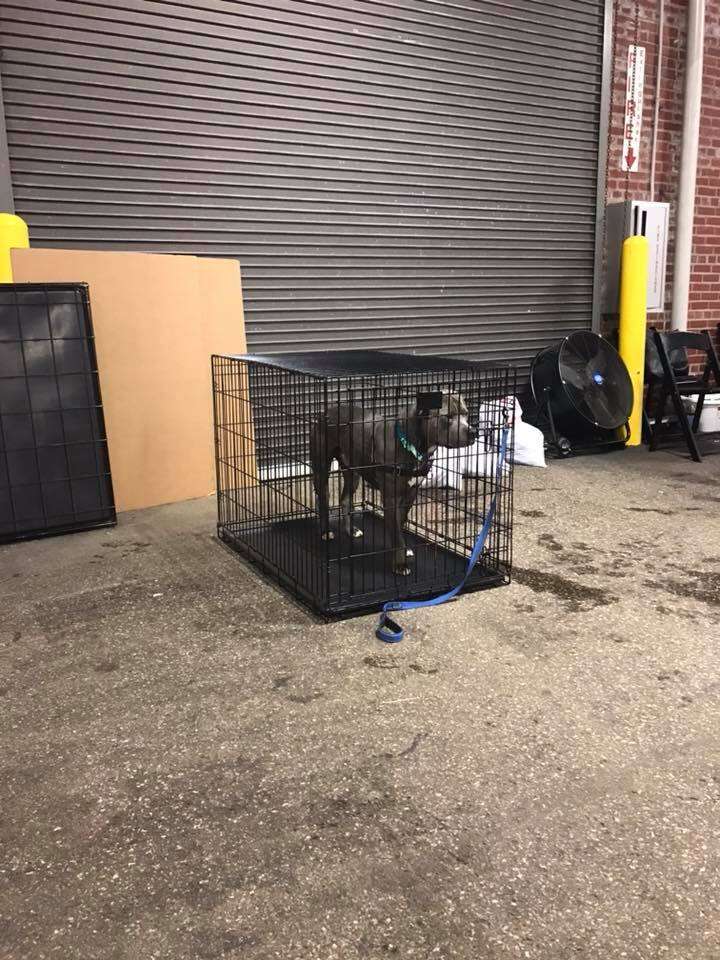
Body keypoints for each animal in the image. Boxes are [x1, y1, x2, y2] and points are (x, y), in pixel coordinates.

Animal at [310, 392, 478, 572]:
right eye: (448, 417)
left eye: (466, 414)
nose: (473, 432)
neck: (410, 442)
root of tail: (327, 411)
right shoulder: (391, 498)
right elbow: (396, 531)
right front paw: (400, 563)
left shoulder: (411, 494)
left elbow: (399, 524)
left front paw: (402, 550)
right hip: (322, 470)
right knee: (323, 501)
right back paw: (325, 531)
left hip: (352, 472)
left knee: (345, 499)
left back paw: (351, 530)